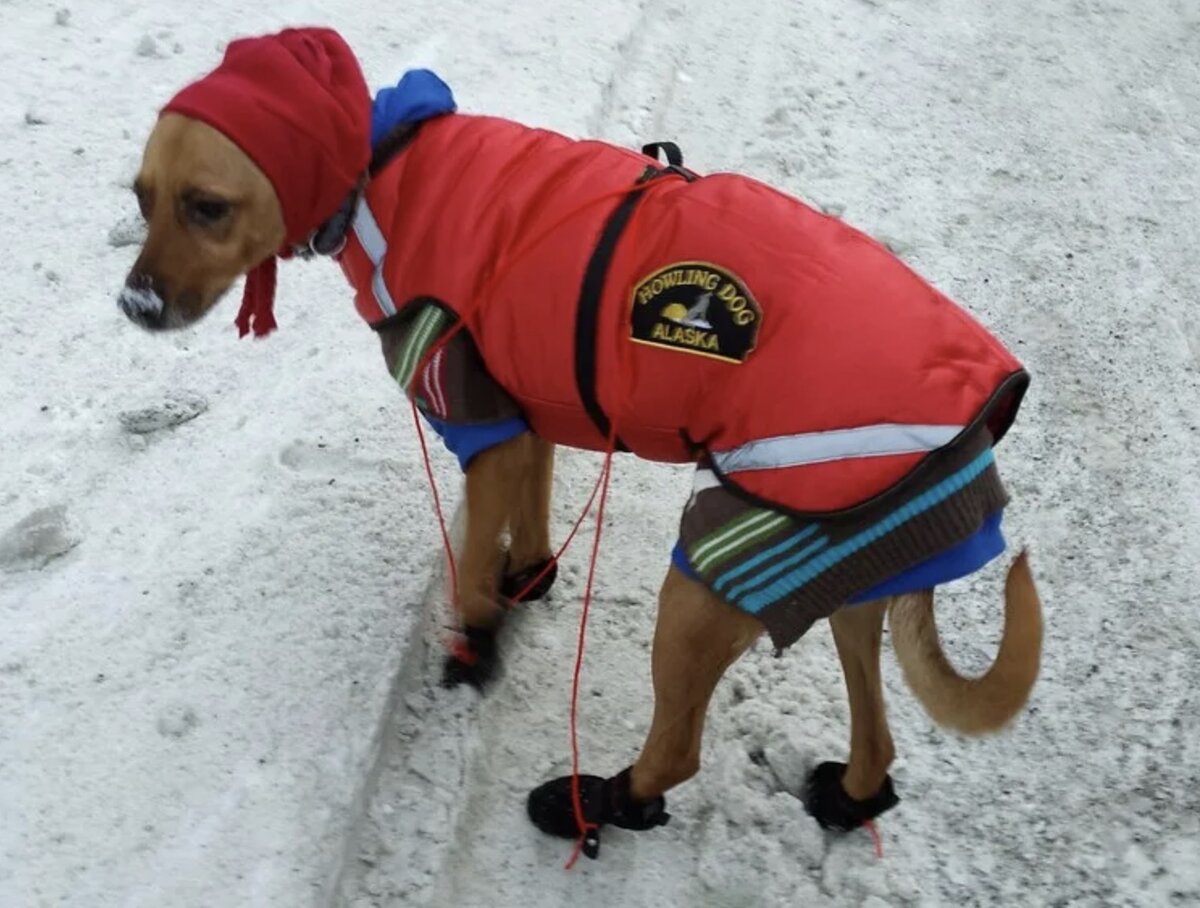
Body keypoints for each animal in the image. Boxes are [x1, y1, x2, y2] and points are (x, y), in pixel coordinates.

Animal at [117, 26, 1046, 858]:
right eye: (139, 199)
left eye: (208, 207)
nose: (134, 304)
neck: (386, 167)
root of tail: (974, 435)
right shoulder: (529, 421)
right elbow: (525, 526)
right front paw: (528, 582)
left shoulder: (480, 428)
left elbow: (469, 573)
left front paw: (475, 651)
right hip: (850, 589)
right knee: (878, 743)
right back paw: (847, 800)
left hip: (710, 580)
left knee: (678, 750)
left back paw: (599, 803)